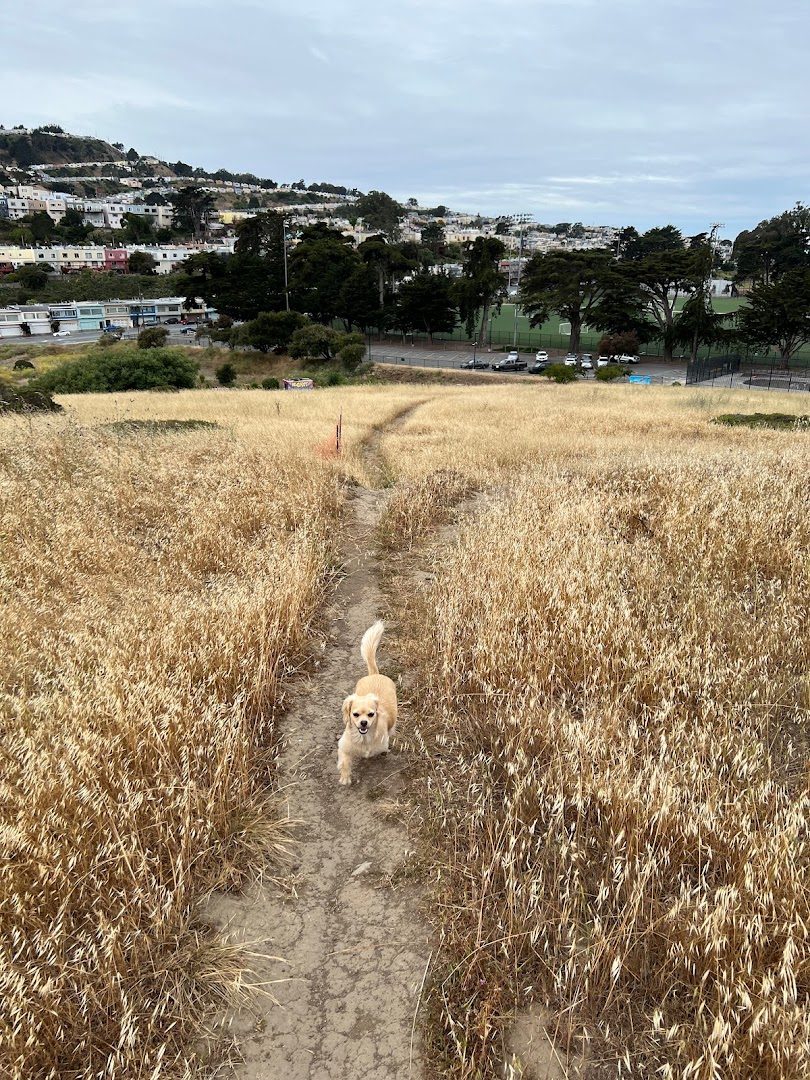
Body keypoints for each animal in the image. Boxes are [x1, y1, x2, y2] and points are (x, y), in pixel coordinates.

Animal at [336, 626, 397, 786]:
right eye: (355, 714)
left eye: (371, 714)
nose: (363, 723)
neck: (364, 739)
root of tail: (374, 674)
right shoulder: (343, 747)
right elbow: (345, 762)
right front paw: (345, 778)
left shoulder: (382, 745)